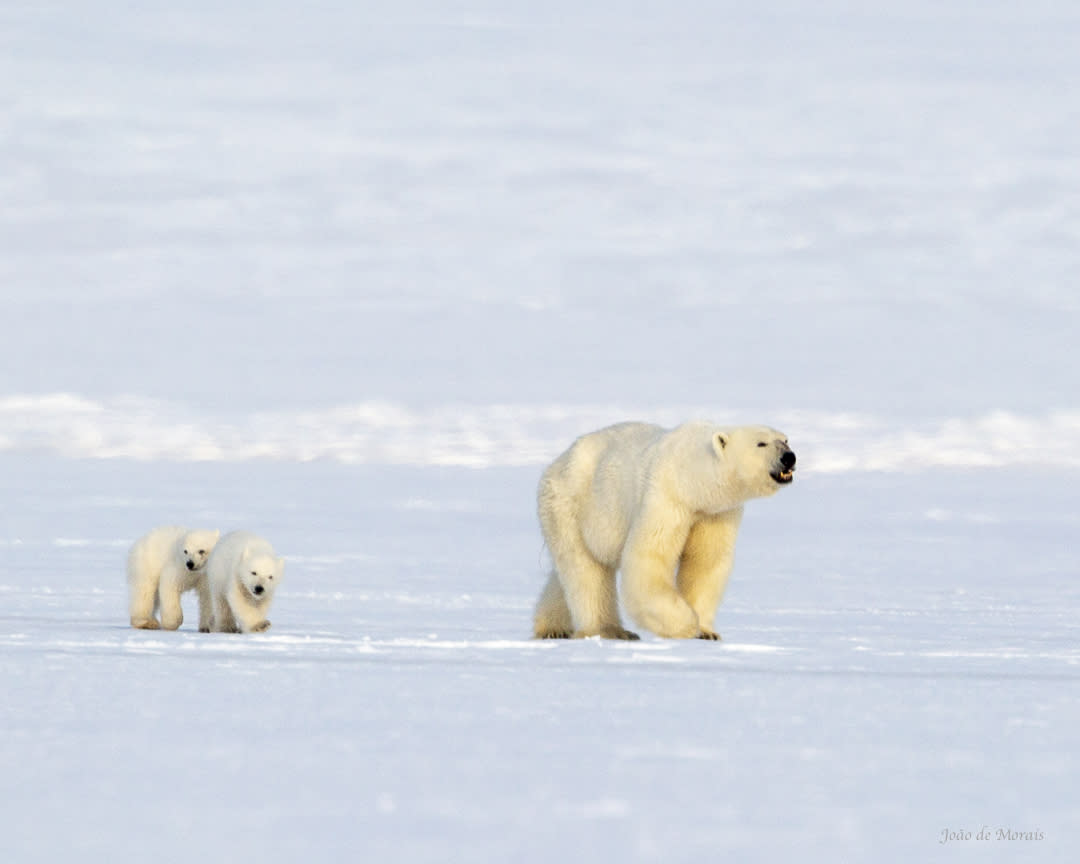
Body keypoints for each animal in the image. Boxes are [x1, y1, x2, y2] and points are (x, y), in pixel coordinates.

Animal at [531, 421, 794, 639]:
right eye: (761, 443)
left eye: (786, 439)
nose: (789, 457)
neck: (693, 477)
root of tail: (556, 464)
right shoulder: (667, 498)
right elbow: (649, 558)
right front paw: (687, 625)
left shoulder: (715, 513)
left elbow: (705, 562)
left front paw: (706, 632)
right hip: (569, 504)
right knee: (585, 569)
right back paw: (610, 630)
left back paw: (552, 628)